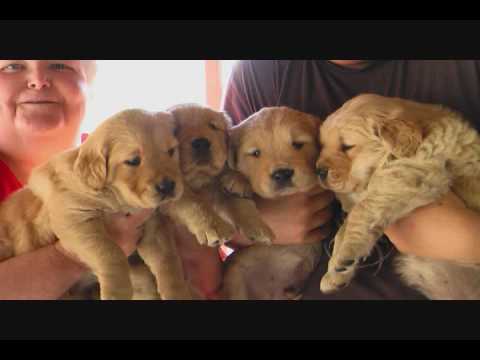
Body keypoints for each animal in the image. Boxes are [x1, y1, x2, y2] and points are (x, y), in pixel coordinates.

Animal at [0, 108, 188, 300]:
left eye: (171, 151)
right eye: (133, 161)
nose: (167, 186)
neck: (113, 195)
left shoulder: (152, 226)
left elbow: (168, 261)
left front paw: (177, 292)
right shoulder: (75, 218)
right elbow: (111, 252)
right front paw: (116, 292)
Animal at [316, 93, 480, 298]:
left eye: (347, 146)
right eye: (322, 145)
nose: (318, 171)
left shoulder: (409, 175)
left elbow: (361, 211)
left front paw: (346, 253)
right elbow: (342, 230)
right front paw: (334, 274)